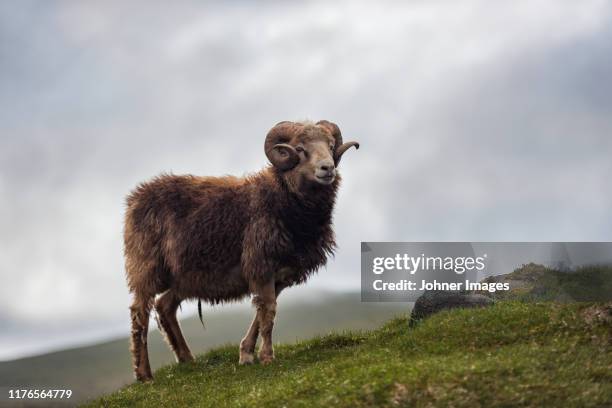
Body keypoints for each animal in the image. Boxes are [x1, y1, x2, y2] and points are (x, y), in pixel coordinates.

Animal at [123, 119, 358, 380]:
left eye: (330, 145)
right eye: (300, 149)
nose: (328, 168)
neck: (282, 198)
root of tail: (136, 196)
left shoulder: (279, 274)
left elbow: (262, 313)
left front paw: (246, 354)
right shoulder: (261, 265)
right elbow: (268, 314)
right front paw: (266, 357)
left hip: (185, 276)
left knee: (165, 306)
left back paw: (186, 359)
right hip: (146, 265)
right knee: (139, 313)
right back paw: (144, 374)